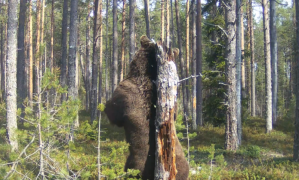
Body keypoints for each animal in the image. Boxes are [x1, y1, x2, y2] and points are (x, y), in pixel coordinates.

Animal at [105, 35, 189, 179]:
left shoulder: (125, 94)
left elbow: (113, 113)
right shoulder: (174, 101)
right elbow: (174, 113)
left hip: (136, 164)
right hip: (180, 162)